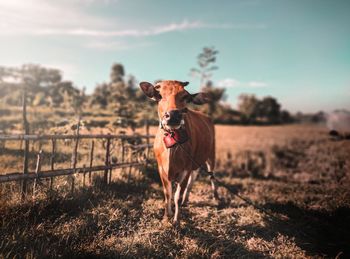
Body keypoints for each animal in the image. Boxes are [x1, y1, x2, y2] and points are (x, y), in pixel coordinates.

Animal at [140, 80, 219, 224]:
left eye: (186, 97)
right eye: (159, 95)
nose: (173, 115)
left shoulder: (185, 169)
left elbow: (177, 195)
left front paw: (176, 220)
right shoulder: (161, 169)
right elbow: (167, 193)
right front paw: (166, 216)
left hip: (211, 154)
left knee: (212, 175)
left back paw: (216, 197)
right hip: (196, 160)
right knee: (194, 176)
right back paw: (186, 200)